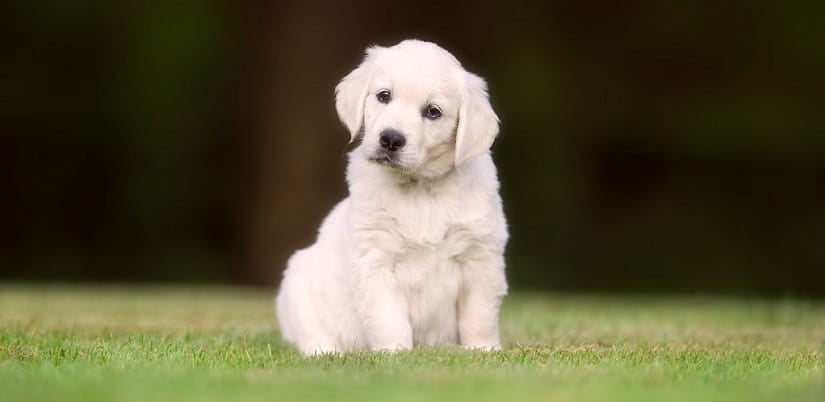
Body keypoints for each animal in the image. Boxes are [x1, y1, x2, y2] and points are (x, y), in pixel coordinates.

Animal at [276, 40, 506, 354]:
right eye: (384, 96)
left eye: (433, 111)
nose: (391, 138)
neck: (419, 188)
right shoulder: (374, 258)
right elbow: (387, 316)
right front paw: (394, 353)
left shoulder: (480, 255)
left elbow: (478, 316)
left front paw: (482, 351)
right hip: (297, 285)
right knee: (311, 333)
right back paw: (326, 353)